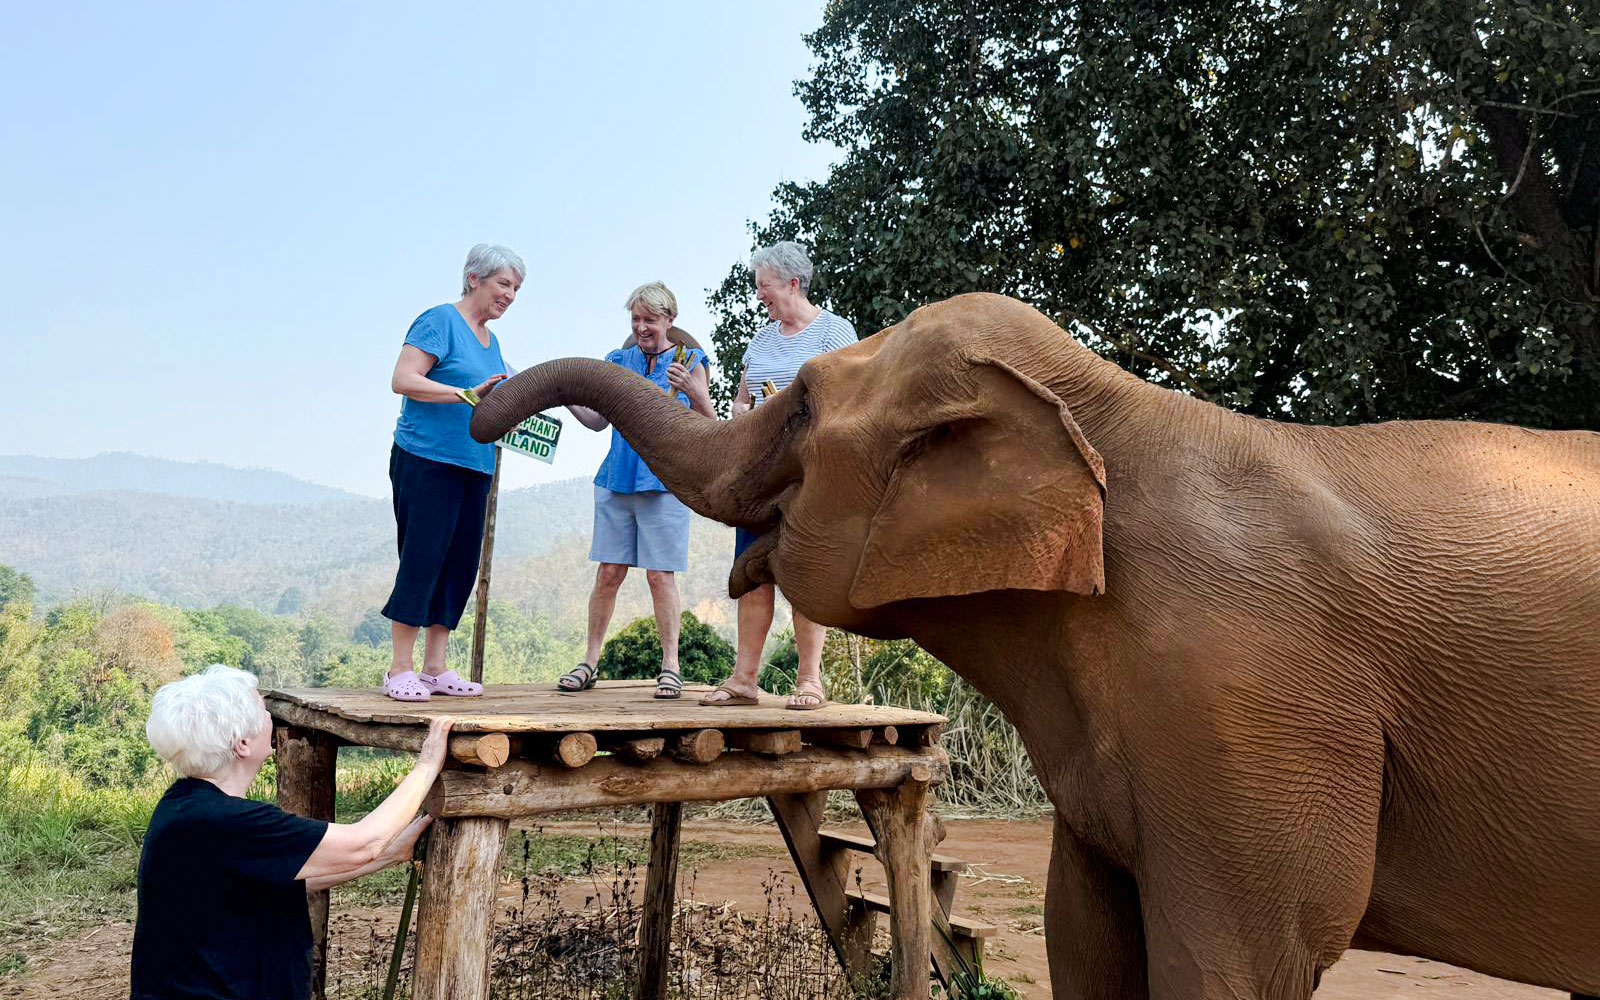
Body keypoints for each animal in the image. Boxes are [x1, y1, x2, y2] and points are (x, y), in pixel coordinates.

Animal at [472, 292, 1600, 1000]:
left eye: (799, 405)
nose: (482, 408)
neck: (1112, 407)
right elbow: (1085, 942)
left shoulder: (1255, 706)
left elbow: (1242, 960)